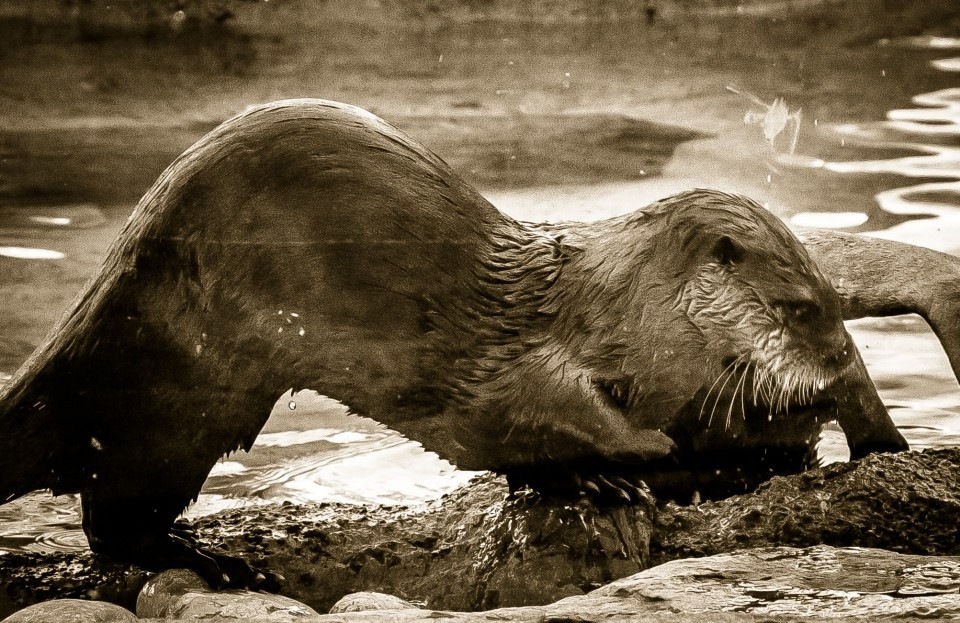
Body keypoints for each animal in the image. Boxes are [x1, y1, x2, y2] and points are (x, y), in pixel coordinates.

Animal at [0, 99, 935, 587]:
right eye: (802, 307)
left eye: (832, 304)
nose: (840, 359)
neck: (620, 321)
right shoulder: (519, 369)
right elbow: (531, 420)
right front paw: (625, 469)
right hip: (181, 389)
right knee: (113, 512)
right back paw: (216, 561)